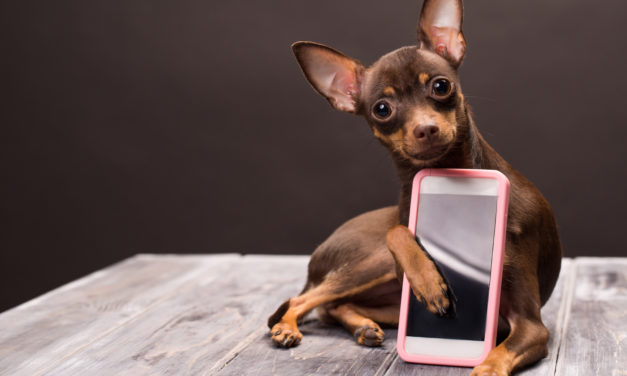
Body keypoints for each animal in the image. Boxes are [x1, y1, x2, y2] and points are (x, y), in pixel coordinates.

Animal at [268, 1, 560, 374]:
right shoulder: (398, 257)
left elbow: (494, 356)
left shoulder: (531, 325)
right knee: (304, 299)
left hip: (391, 303)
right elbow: (397, 231)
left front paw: (483, 366)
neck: (448, 174)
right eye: (382, 109)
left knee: (329, 306)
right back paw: (288, 327)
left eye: (440, 86)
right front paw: (429, 281)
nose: (426, 129)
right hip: (373, 263)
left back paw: (362, 326)